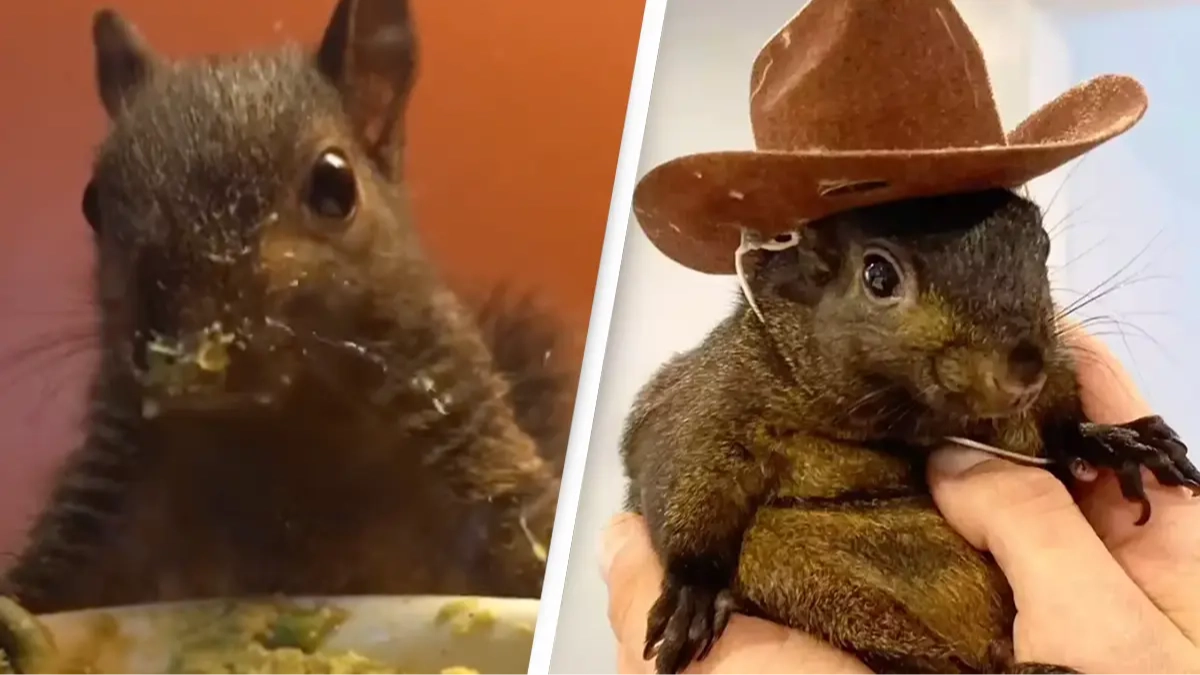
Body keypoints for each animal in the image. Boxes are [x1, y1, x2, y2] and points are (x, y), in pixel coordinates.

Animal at [0, 0, 577, 669]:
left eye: (335, 186)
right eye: (93, 202)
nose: (183, 330)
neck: (276, 434)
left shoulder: (471, 448)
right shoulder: (108, 495)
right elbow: (55, 577)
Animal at [621, 188, 1200, 675]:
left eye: (1042, 244)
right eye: (877, 276)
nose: (1025, 370)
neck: (902, 421)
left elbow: (1060, 428)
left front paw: (1114, 441)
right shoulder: (715, 394)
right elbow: (683, 461)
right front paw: (693, 589)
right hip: (794, 570)